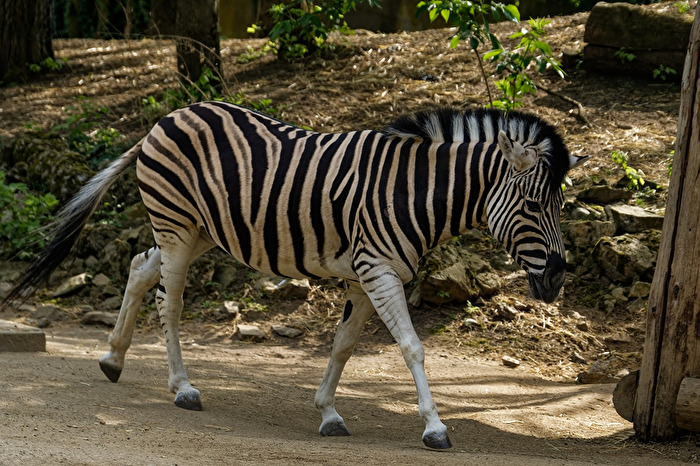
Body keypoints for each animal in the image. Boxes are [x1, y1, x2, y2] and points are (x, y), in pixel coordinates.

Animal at [3, 102, 587, 449]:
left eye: (560, 206)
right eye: (534, 206)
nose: (558, 279)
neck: (414, 192)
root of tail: (167, 116)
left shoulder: (363, 274)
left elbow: (343, 346)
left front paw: (328, 413)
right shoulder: (378, 268)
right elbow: (412, 347)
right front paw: (434, 426)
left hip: (199, 230)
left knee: (139, 268)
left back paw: (112, 359)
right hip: (177, 224)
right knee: (169, 300)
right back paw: (182, 387)